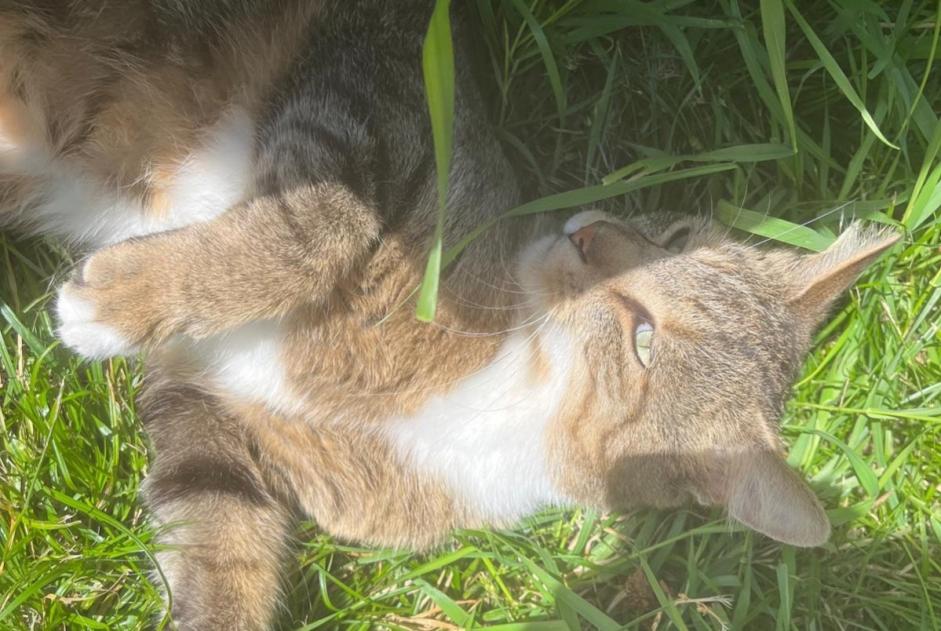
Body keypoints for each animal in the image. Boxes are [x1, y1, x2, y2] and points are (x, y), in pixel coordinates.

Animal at [0, 1, 896, 631]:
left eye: (642, 340)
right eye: (670, 236)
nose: (586, 233)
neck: (511, 382)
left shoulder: (221, 419)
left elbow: (219, 540)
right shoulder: (381, 83)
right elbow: (319, 224)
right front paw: (117, 296)